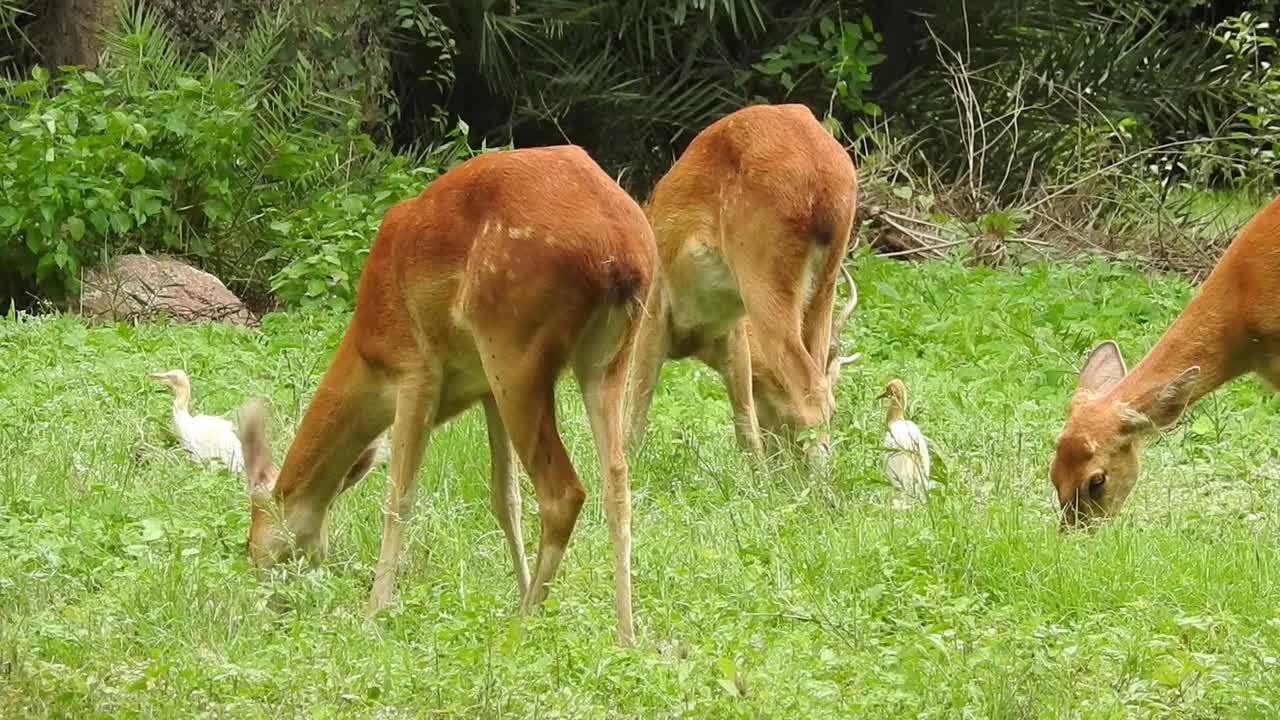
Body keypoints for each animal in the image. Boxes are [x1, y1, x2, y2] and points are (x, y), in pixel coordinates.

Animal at [238, 146, 660, 645]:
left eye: (256, 547)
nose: (272, 609)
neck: (368, 353)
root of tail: (621, 249)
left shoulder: (416, 370)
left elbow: (399, 498)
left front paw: (374, 612)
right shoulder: (483, 390)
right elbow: (505, 499)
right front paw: (519, 584)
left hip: (513, 343)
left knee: (564, 492)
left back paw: (526, 622)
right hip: (605, 356)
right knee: (617, 481)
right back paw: (625, 633)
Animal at [622, 102, 855, 458]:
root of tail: (825, 177)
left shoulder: (654, 304)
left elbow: (634, 410)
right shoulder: (732, 331)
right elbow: (746, 427)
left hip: (763, 274)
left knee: (811, 394)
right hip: (825, 283)